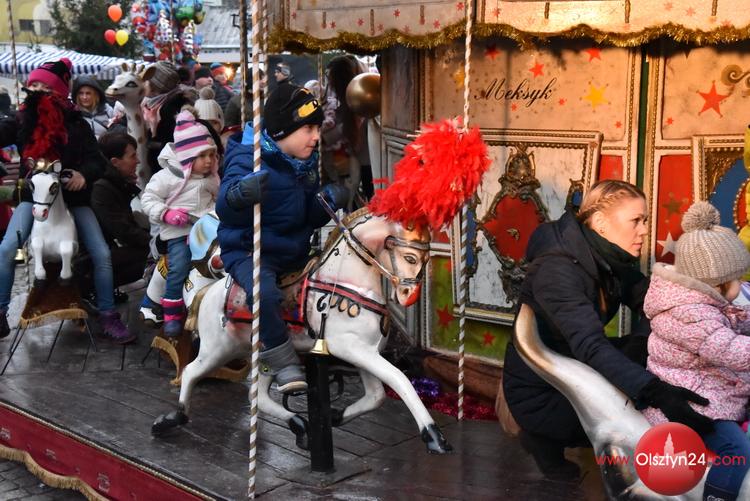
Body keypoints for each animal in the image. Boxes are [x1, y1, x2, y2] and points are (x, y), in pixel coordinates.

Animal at [151, 208, 453, 454]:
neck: (346, 284)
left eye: (427, 257)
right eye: (410, 257)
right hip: (218, 347)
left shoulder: (366, 351)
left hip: (265, 355)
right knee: (192, 372)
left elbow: (376, 396)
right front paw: (434, 437)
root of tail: (209, 291)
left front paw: (335, 416)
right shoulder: (351, 347)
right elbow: (400, 380)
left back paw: (301, 426)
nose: (408, 295)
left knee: (260, 396)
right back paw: (170, 420)